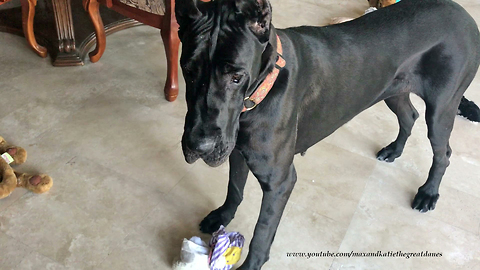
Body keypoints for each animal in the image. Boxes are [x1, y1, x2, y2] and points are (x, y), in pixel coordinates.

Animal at [175, 0, 480, 268]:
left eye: (236, 77)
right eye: (188, 71)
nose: (199, 146)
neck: (261, 91)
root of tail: (462, 13)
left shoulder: (279, 181)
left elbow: (261, 232)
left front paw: (251, 265)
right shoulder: (238, 152)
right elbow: (235, 189)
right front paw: (222, 216)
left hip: (441, 109)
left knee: (444, 152)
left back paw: (428, 193)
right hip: (392, 89)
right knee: (410, 115)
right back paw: (394, 150)